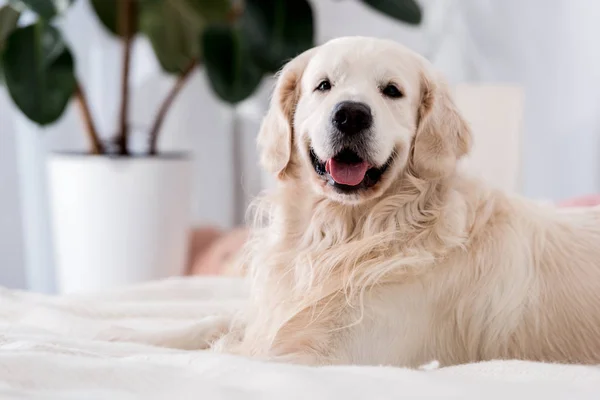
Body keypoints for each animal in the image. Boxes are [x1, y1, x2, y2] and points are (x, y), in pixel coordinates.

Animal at [213, 36, 600, 368]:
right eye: (324, 85)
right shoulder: (267, 319)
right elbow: (219, 321)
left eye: (392, 91)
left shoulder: (336, 354)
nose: (351, 114)